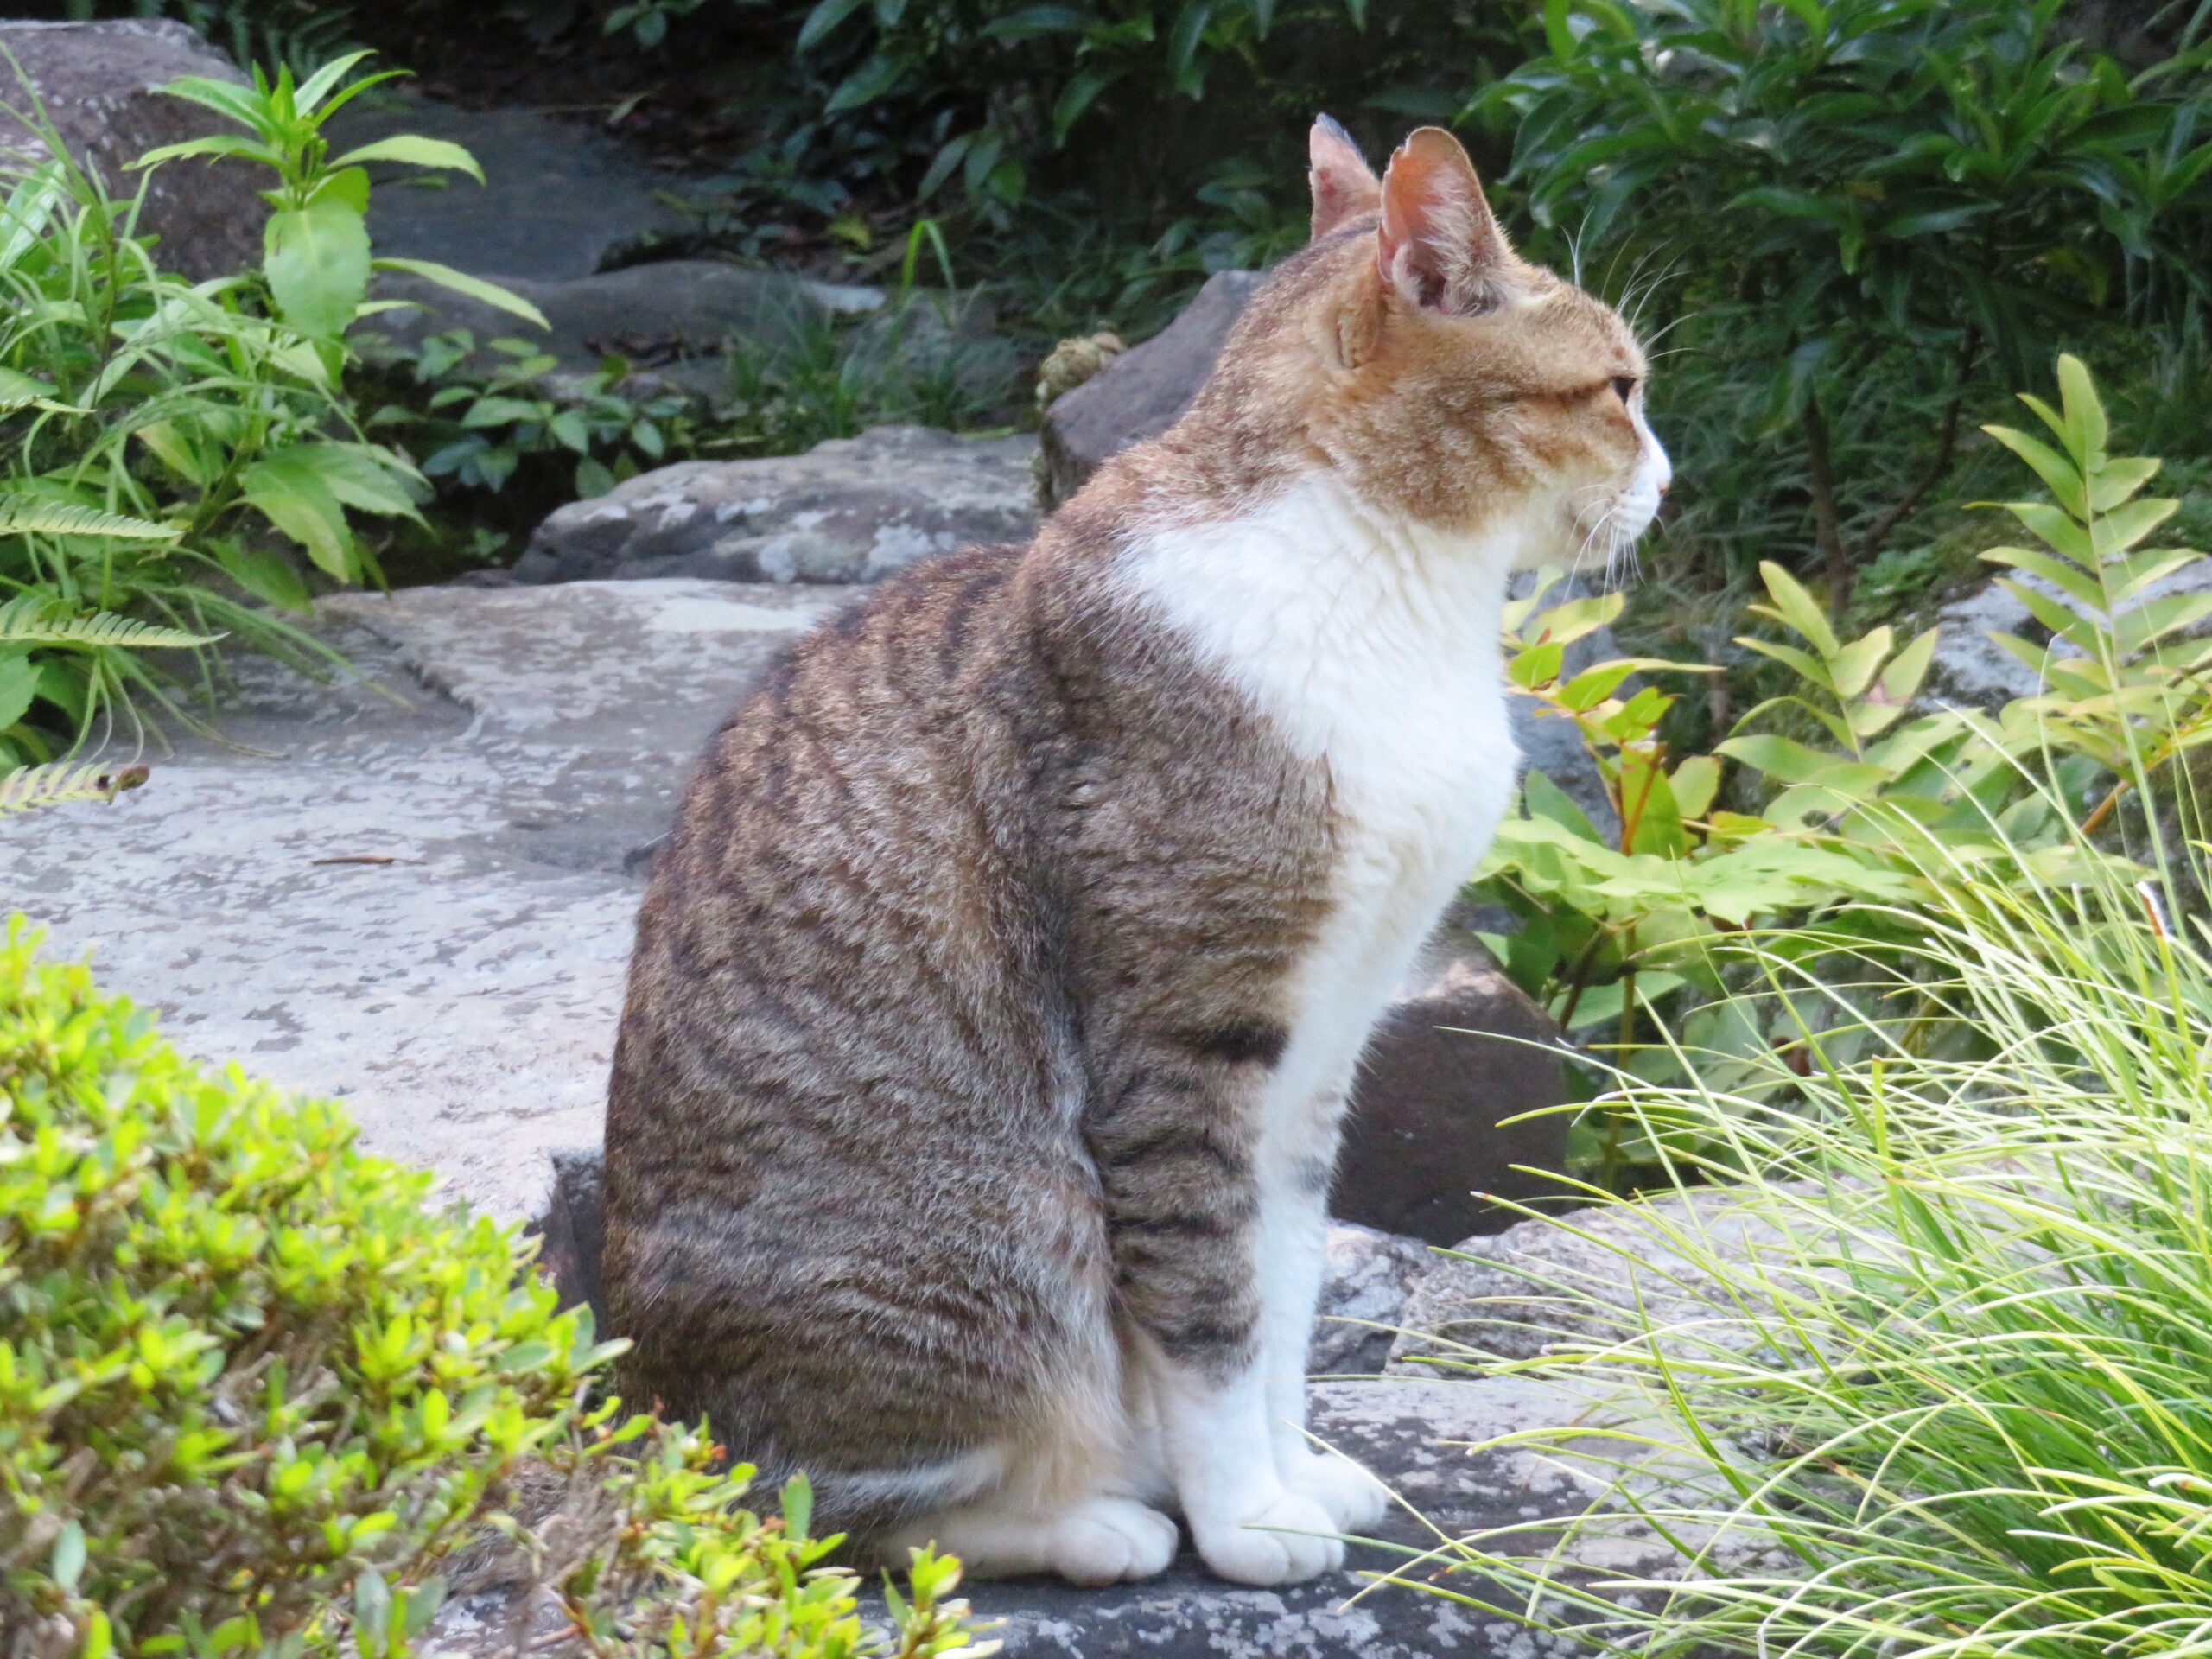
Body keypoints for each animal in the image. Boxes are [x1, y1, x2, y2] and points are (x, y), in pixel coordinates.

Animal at [597, 111, 1663, 1592]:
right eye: (1618, 389)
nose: (1669, 477)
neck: (1386, 590)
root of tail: (646, 1413)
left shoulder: (1319, 1049)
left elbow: (1282, 1294)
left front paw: (1291, 1475)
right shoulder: (1185, 1038)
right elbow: (1210, 1314)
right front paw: (1245, 1519)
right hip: (1005, 1236)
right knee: (830, 1510)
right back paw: (1095, 1522)